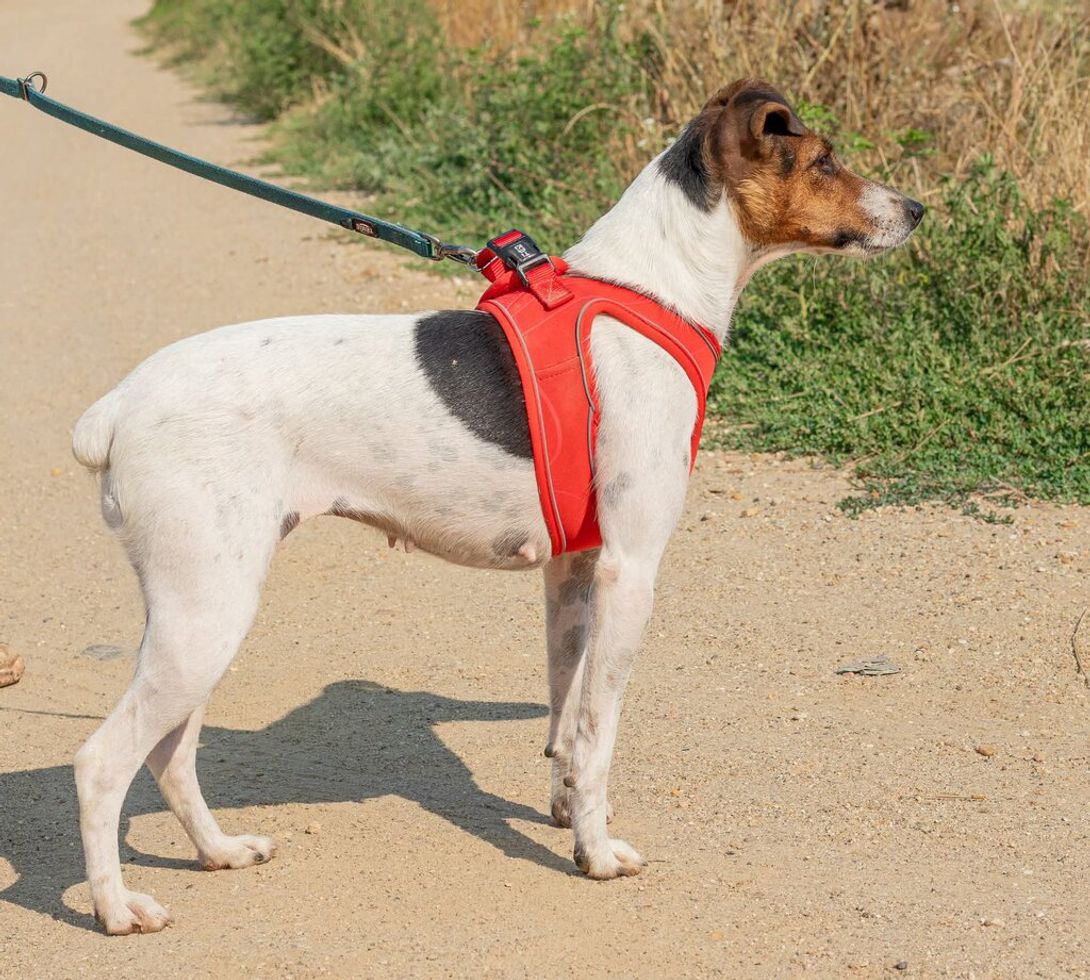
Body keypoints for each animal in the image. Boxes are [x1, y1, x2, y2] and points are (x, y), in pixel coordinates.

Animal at [70, 78, 923, 934]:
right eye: (823, 161)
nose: (918, 208)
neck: (655, 286)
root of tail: (116, 407)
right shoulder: (630, 570)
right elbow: (598, 731)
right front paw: (596, 854)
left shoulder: (572, 571)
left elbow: (563, 720)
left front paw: (567, 814)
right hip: (209, 612)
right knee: (103, 761)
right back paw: (117, 908)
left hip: (190, 616)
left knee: (170, 752)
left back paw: (219, 851)